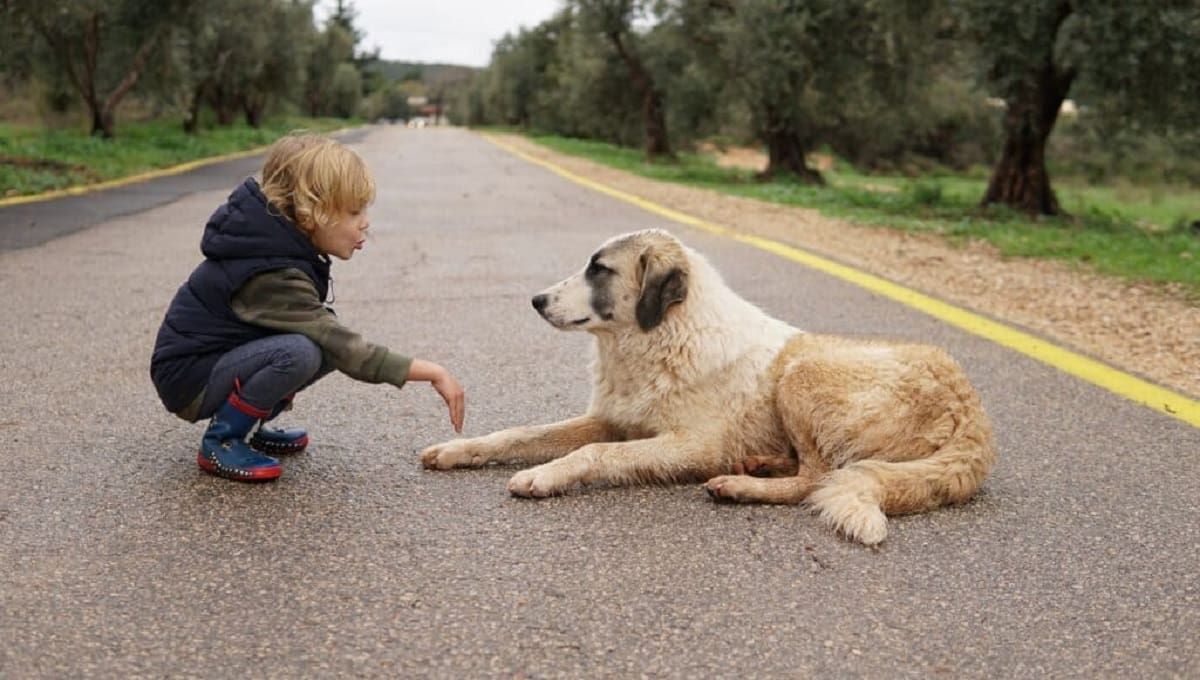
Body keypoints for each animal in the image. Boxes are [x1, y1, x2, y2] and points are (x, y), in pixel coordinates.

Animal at [422, 231, 993, 544]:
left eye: (599, 270)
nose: (537, 300)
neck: (658, 337)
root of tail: (973, 408)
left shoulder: (691, 445)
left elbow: (596, 453)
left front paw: (544, 476)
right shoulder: (611, 419)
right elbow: (519, 434)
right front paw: (459, 449)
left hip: (801, 373)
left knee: (817, 478)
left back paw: (741, 485)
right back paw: (759, 466)